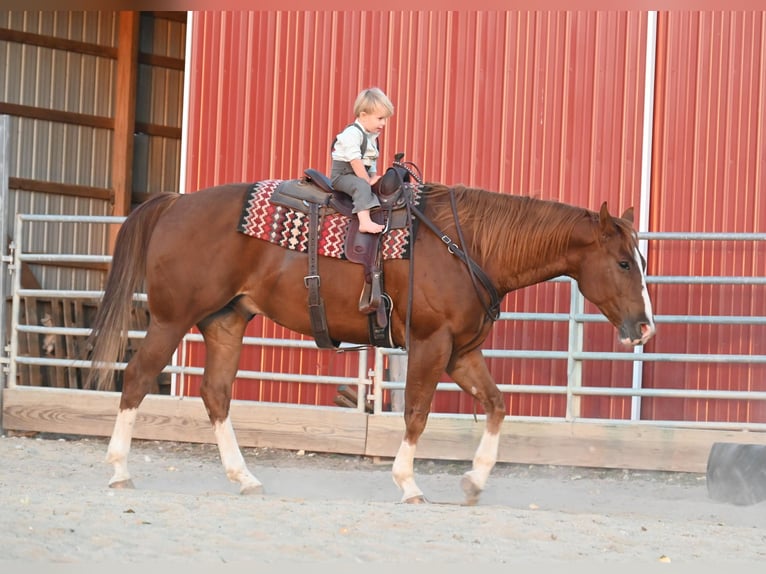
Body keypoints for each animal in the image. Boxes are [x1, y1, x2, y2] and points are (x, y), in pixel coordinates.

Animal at [87, 178, 656, 506]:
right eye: (623, 263)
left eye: (641, 260)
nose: (646, 326)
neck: (466, 245)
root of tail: (176, 202)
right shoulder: (430, 344)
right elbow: (417, 413)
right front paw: (408, 483)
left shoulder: (462, 353)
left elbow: (497, 405)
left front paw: (474, 482)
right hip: (171, 320)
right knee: (137, 380)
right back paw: (117, 472)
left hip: (226, 321)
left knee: (216, 395)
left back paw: (243, 477)